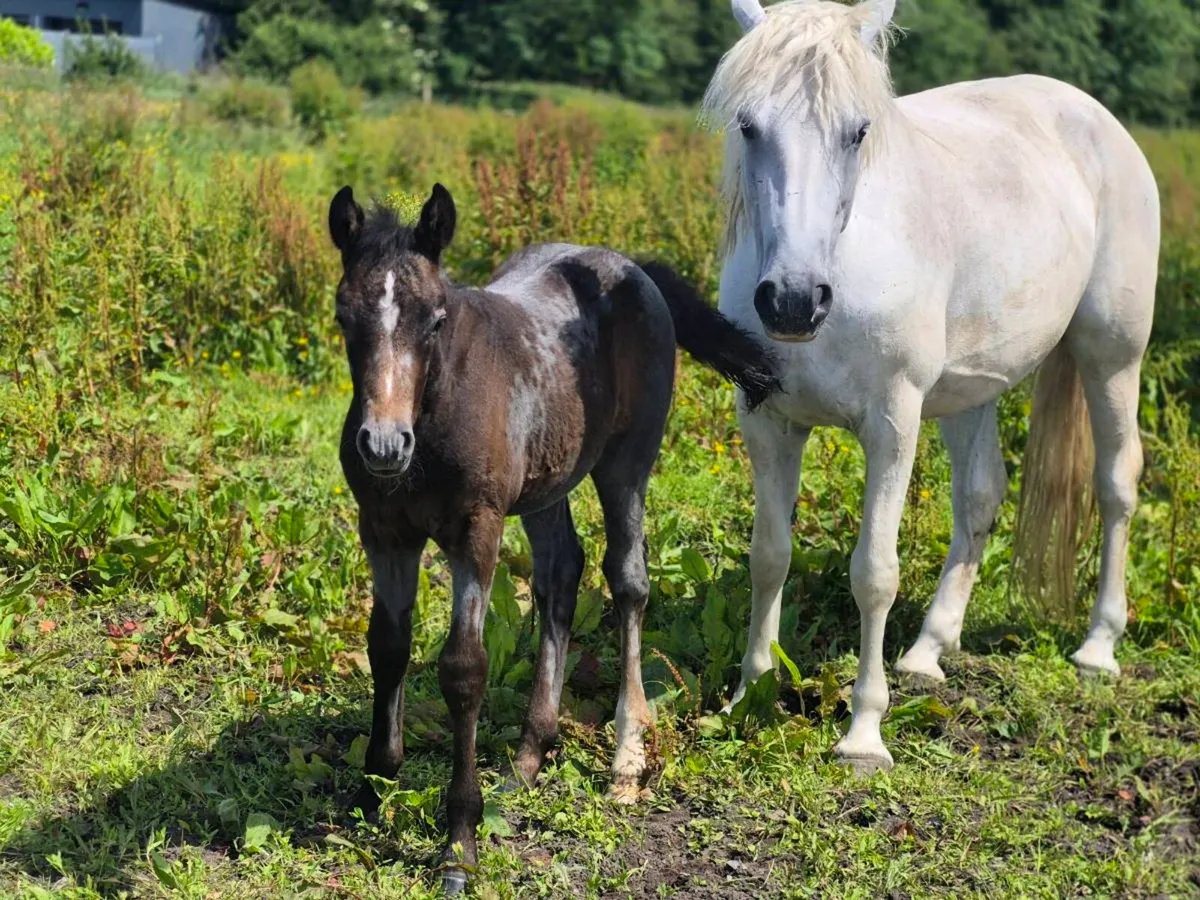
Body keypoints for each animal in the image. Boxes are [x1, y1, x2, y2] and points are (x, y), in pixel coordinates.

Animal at [327, 183, 780, 891]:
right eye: (346, 318)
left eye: (434, 320)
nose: (381, 444)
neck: (432, 419)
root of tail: (630, 265)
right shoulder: (384, 531)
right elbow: (387, 648)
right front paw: (375, 787)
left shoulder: (476, 531)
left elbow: (463, 669)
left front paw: (458, 845)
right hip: (546, 484)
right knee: (561, 574)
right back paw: (527, 759)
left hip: (627, 463)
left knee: (627, 580)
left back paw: (626, 757)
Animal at [706, 0, 1159, 773]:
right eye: (748, 124)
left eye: (859, 130)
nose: (792, 303)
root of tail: (1094, 116)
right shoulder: (765, 418)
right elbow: (768, 556)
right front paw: (750, 695)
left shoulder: (893, 422)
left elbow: (873, 573)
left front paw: (863, 735)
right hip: (971, 391)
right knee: (980, 497)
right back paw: (926, 653)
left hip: (1111, 357)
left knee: (1116, 482)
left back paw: (1098, 648)